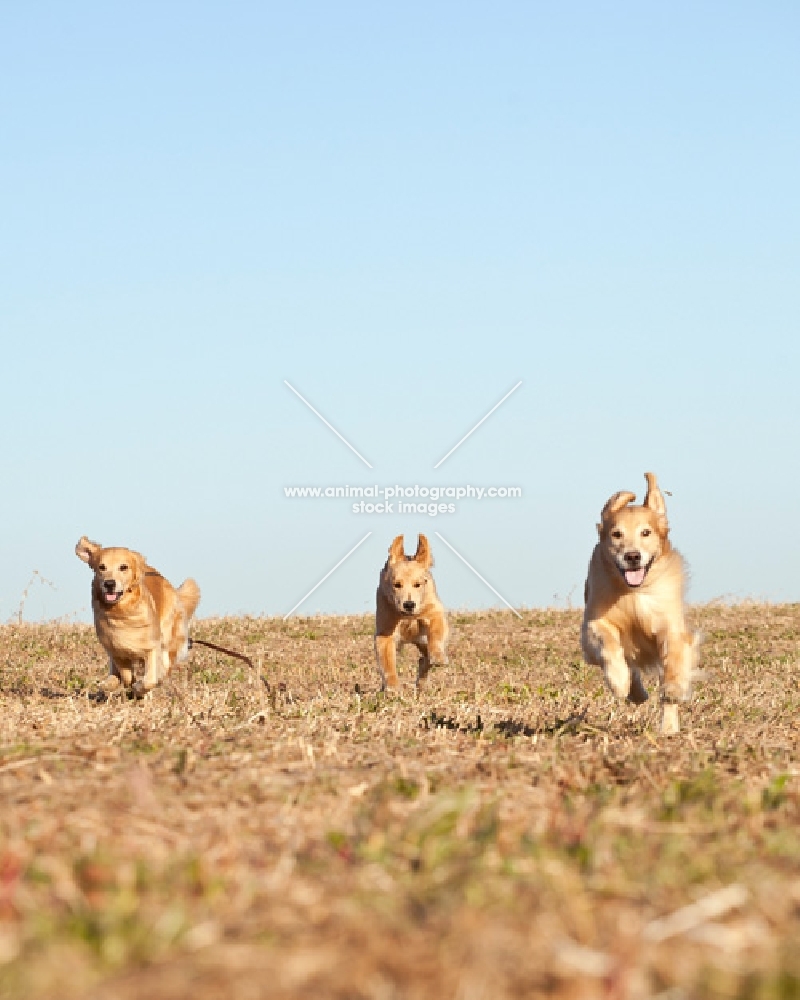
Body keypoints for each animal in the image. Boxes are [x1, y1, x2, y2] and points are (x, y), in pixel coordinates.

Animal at [75, 540, 202, 696]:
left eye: (123, 567)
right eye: (102, 567)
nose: (109, 583)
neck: (121, 612)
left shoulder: (152, 645)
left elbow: (150, 679)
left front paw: (140, 689)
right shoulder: (115, 647)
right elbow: (126, 675)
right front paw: (130, 685)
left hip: (168, 632)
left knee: (165, 663)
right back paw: (110, 682)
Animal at [374, 536, 446, 692]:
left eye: (418, 584)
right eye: (397, 585)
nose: (409, 604)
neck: (408, 617)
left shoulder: (434, 612)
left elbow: (436, 633)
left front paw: (438, 656)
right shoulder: (385, 632)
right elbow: (387, 663)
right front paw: (393, 687)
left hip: (421, 639)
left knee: (424, 658)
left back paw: (423, 681)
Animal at [580, 472, 700, 732]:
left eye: (646, 532)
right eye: (617, 534)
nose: (632, 556)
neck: (634, 593)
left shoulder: (670, 626)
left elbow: (674, 662)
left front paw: (674, 689)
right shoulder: (594, 623)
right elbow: (609, 645)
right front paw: (618, 681)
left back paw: (668, 728)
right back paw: (634, 691)